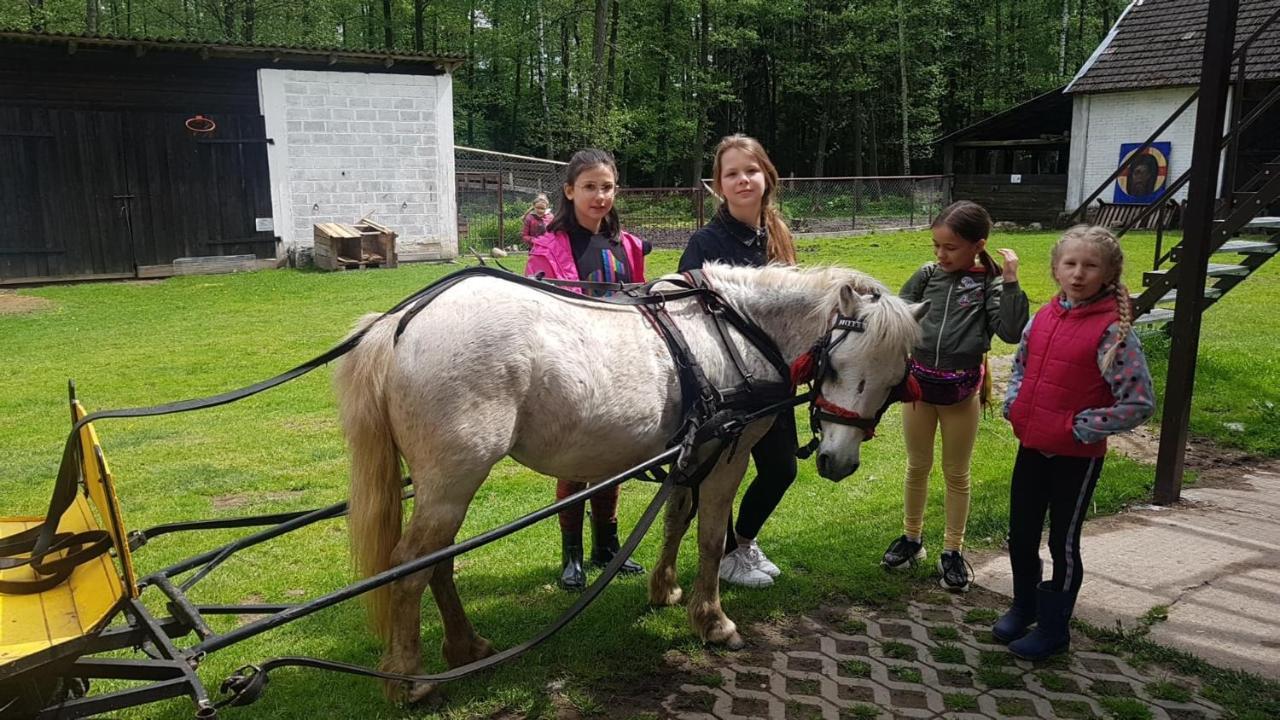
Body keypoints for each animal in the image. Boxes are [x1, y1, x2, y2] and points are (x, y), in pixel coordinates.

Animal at [335, 260, 926, 696]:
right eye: (837, 368)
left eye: (895, 381)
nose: (838, 463)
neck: (737, 331)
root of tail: (399, 324)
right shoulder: (729, 453)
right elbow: (710, 534)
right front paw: (713, 621)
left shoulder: (695, 450)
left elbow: (676, 518)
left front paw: (664, 589)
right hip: (453, 480)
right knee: (411, 567)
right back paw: (409, 678)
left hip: (446, 485)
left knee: (439, 560)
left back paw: (465, 647)